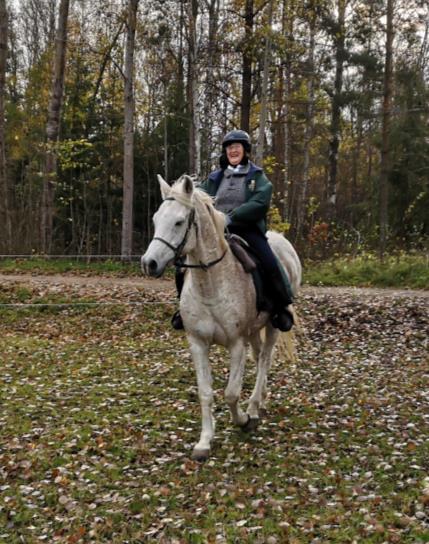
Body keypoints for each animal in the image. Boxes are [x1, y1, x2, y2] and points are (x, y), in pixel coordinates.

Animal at [141, 173, 300, 460]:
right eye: (156, 219)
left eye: (179, 221)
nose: (149, 263)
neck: (210, 284)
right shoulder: (198, 343)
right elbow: (205, 393)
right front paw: (204, 442)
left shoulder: (237, 344)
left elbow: (231, 393)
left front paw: (243, 420)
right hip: (254, 329)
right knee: (259, 357)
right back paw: (260, 400)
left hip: (272, 326)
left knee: (264, 361)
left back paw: (254, 406)